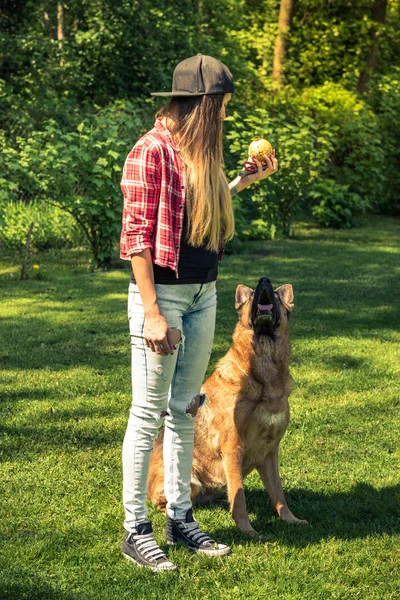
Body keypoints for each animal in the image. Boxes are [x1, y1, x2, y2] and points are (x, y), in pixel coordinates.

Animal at [148, 276, 308, 536]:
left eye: (274, 293)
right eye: (253, 294)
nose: (264, 280)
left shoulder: (270, 451)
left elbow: (278, 492)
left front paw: (290, 519)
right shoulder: (233, 447)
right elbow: (240, 497)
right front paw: (247, 530)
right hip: (189, 479)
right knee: (168, 502)